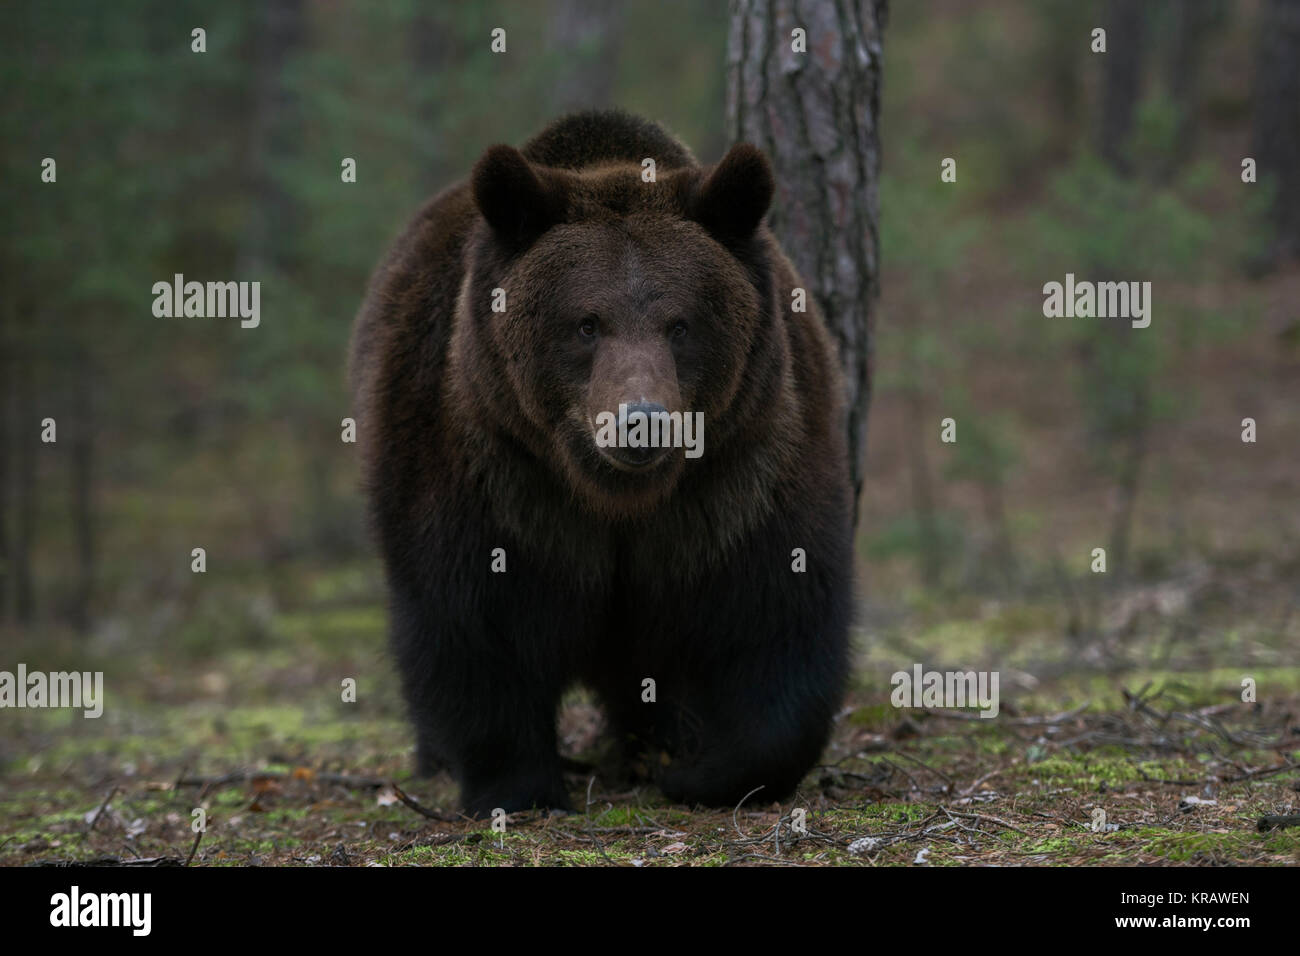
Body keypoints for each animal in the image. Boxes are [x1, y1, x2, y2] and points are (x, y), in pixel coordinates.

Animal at [348, 110, 852, 816]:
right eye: (586, 323)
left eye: (681, 323)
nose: (642, 419)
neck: (615, 495)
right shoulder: (489, 473)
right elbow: (475, 626)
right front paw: (519, 786)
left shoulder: (744, 472)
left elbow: (777, 619)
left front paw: (700, 772)